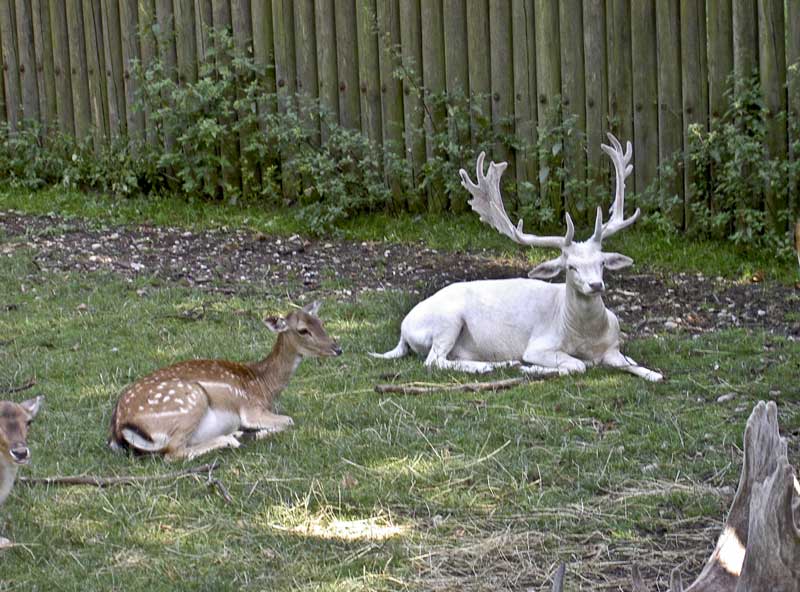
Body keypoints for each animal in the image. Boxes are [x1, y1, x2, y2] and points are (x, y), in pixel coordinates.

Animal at [109, 302, 340, 460]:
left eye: (321, 323)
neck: (264, 385)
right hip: (192, 401)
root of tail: (120, 428)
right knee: (173, 453)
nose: (337, 348)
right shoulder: (251, 409)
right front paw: (253, 434)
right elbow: (290, 420)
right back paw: (232, 438)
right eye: (303, 330)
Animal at [374, 134, 664, 382]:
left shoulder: (614, 346)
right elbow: (577, 365)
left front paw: (653, 373)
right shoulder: (539, 345)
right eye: (570, 267)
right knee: (434, 361)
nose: (596, 285)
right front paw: (532, 369)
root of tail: (403, 328)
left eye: (602, 262)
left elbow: (639, 367)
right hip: (446, 321)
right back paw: (492, 366)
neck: (587, 338)